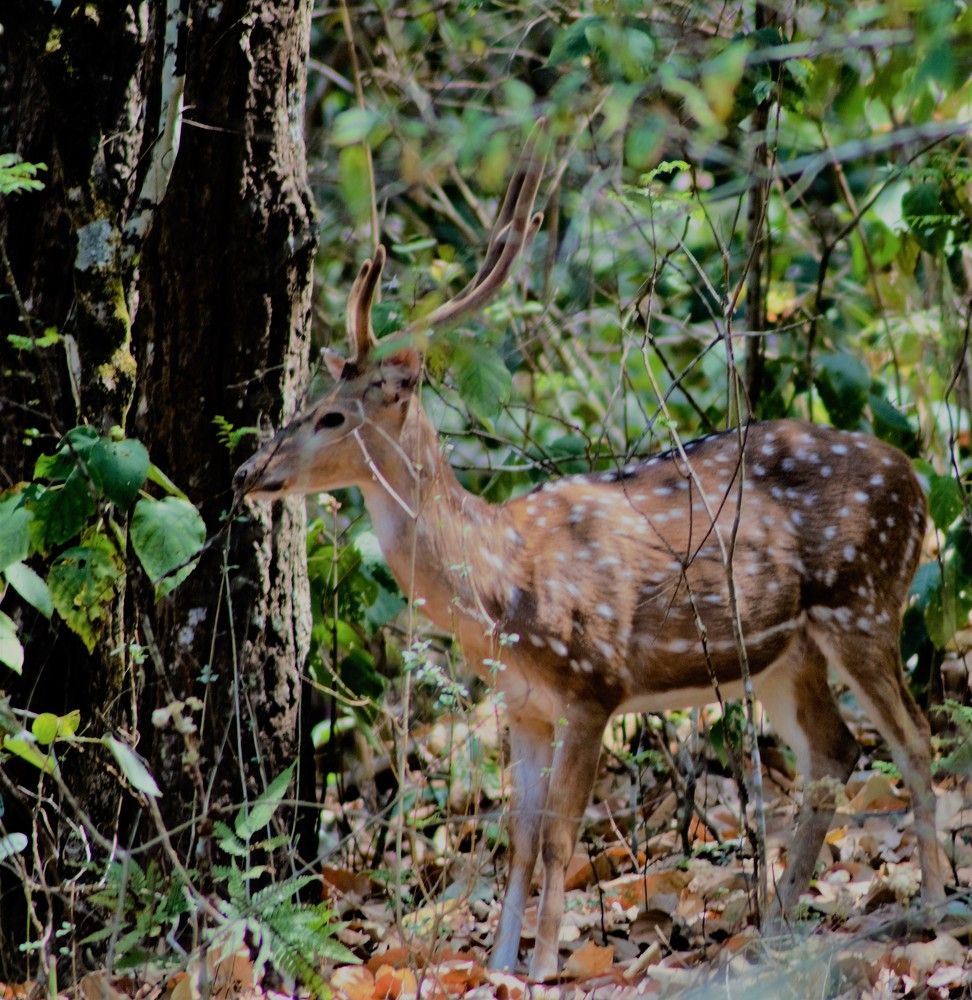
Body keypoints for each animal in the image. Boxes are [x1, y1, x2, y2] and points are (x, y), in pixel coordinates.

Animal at [232, 126, 947, 980]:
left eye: (333, 416)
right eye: (306, 404)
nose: (248, 472)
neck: (498, 584)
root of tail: (918, 481)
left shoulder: (593, 681)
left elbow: (560, 837)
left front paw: (543, 965)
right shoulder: (522, 703)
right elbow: (517, 837)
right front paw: (498, 962)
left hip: (864, 601)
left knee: (913, 738)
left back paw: (931, 905)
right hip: (785, 651)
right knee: (833, 754)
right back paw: (775, 924)